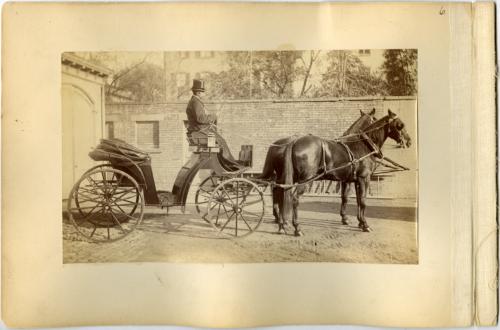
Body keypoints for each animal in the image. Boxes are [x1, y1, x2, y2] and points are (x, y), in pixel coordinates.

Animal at [266, 109, 410, 236]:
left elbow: (352, 199)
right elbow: (363, 201)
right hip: (305, 180)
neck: (362, 145)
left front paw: (356, 221)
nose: (409, 141)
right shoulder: (364, 178)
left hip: (286, 177)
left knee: (278, 192)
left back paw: (281, 225)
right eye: (400, 125)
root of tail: (294, 142)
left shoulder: (351, 180)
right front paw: (365, 225)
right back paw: (297, 228)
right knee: (294, 198)